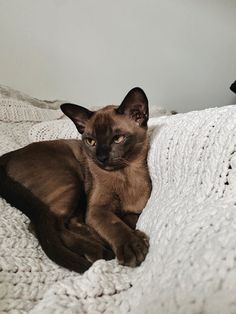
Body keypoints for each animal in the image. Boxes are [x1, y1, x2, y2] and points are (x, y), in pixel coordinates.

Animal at [0, 87, 151, 272]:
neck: (126, 173)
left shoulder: (136, 209)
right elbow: (115, 224)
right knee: (47, 224)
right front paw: (132, 246)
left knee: (69, 222)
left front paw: (135, 233)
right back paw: (98, 251)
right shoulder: (97, 210)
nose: (101, 158)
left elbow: (129, 218)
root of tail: (8, 155)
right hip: (71, 181)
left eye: (117, 139)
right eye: (91, 141)